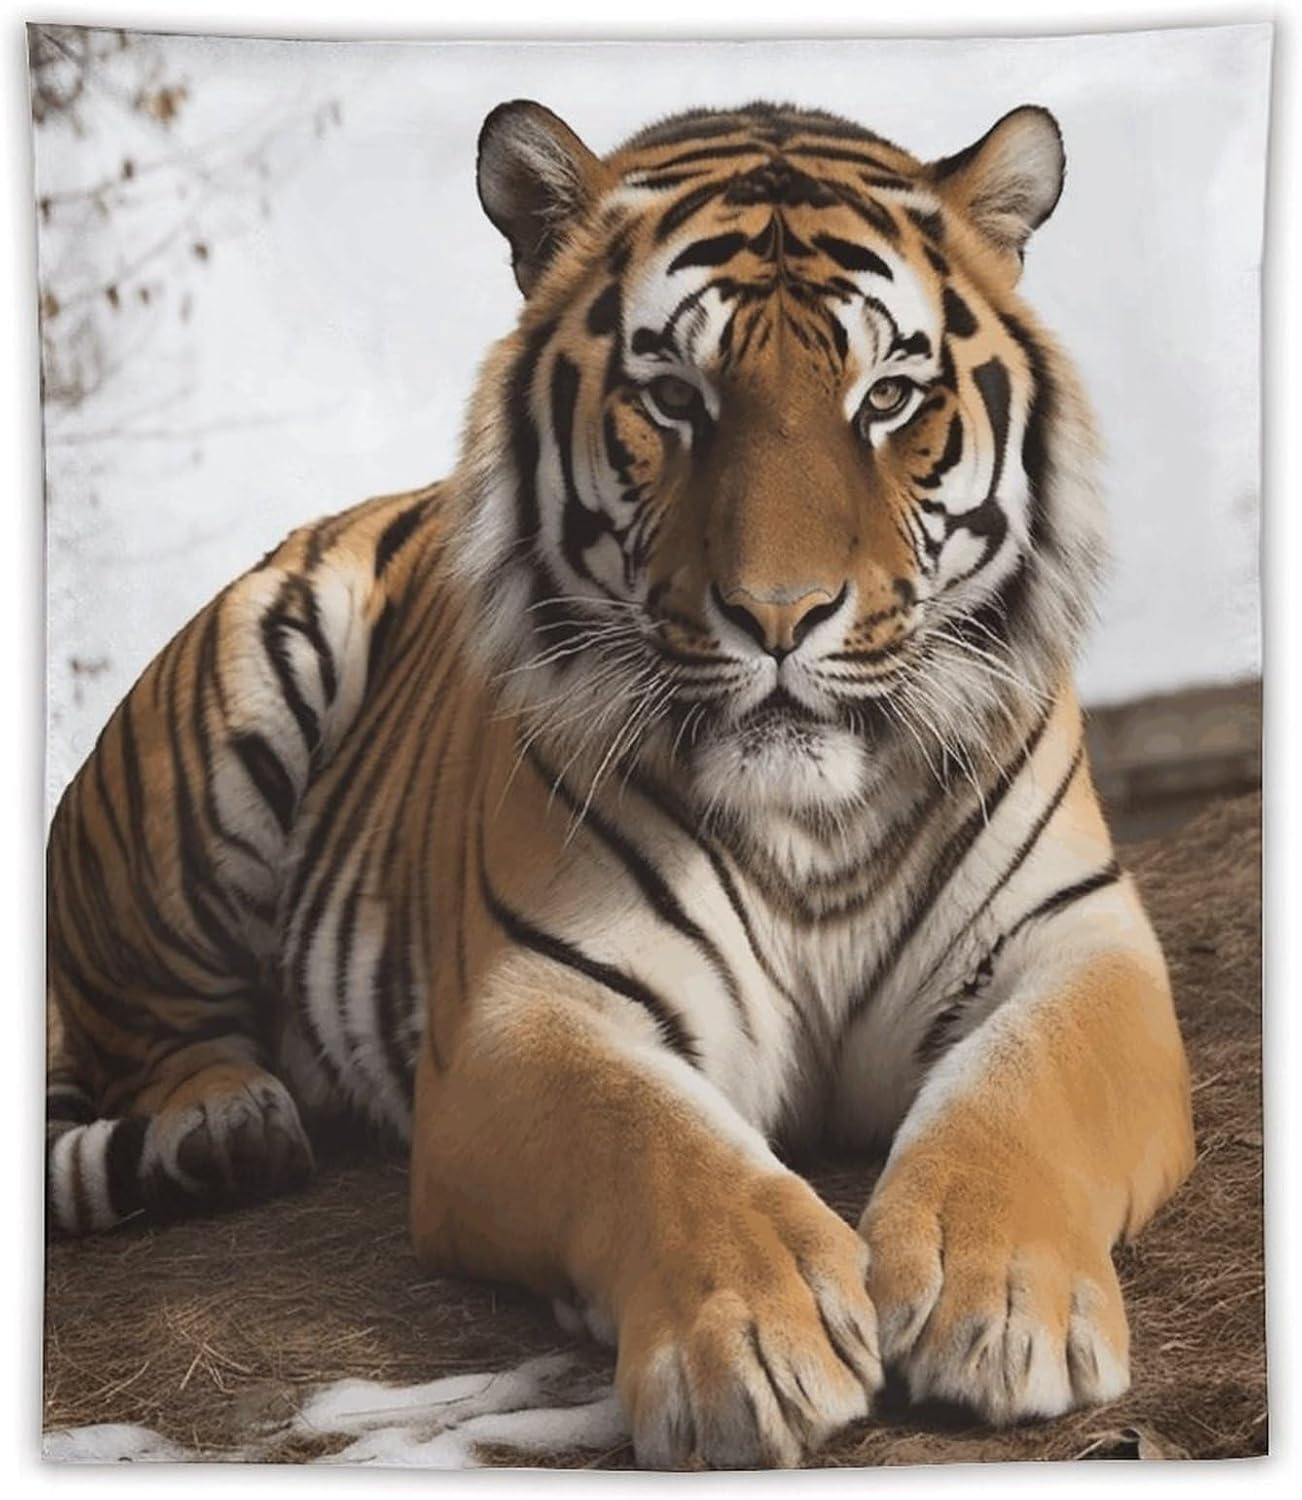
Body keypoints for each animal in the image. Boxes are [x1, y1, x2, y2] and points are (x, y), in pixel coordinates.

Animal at [46, 98, 1195, 1469]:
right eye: (673, 397)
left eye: (887, 397)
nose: (780, 615)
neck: (813, 823)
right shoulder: (527, 1008)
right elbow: (652, 1139)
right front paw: (755, 1338)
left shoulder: (1078, 946)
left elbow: (1024, 1090)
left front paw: (1005, 1302)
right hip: (213, 736)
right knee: (151, 1034)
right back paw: (225, 1128)